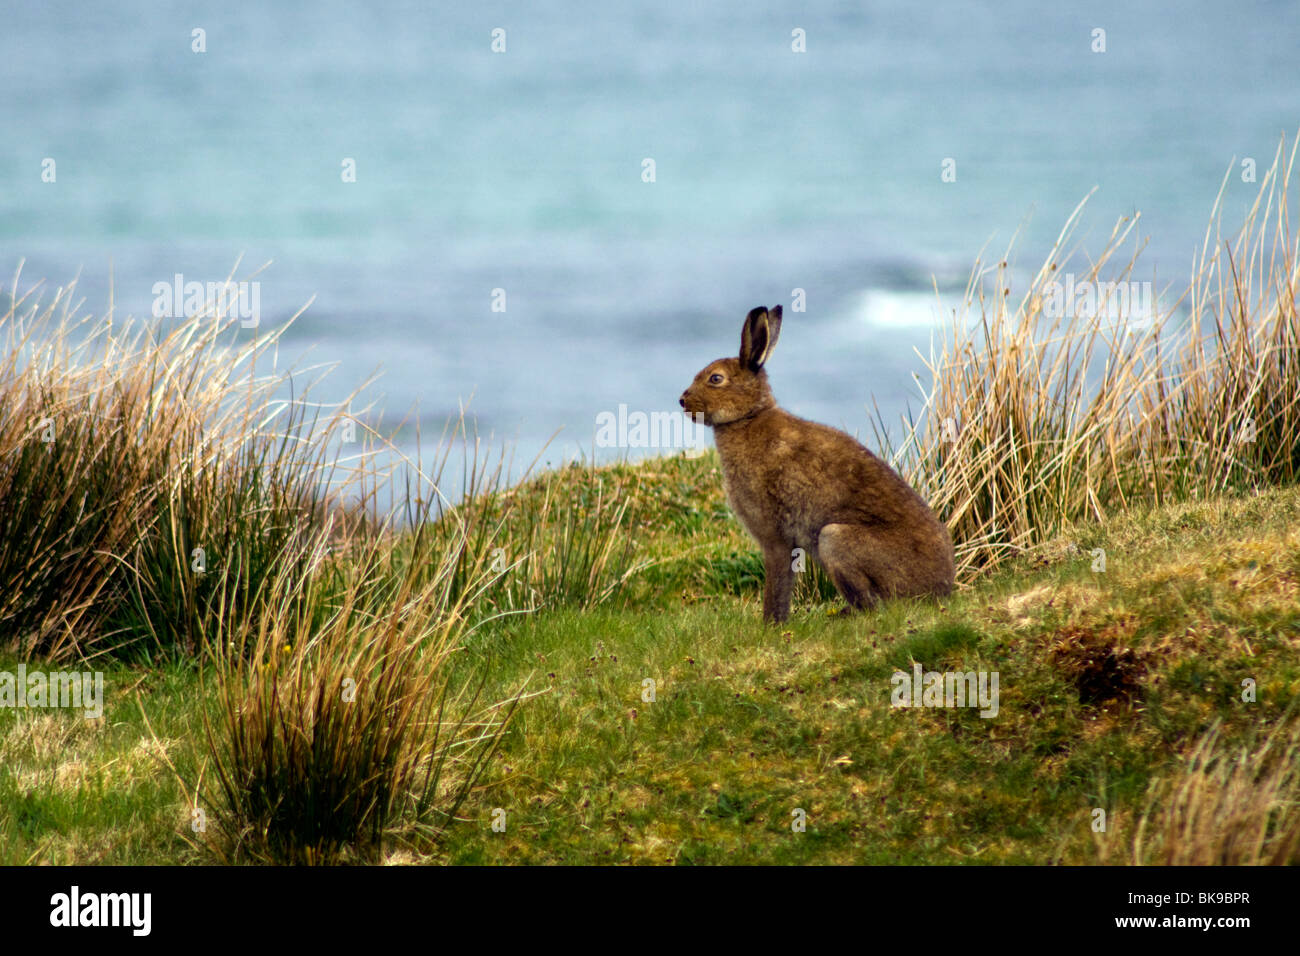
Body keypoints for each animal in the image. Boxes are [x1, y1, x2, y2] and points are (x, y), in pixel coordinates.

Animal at [679, 305, 955, 623]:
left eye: (716, 379)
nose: (682, 401)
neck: (748, 417)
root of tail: (941, 588)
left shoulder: (775, 537)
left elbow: (777, 584)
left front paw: (770, 624)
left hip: (835, 540)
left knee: (874, 605)